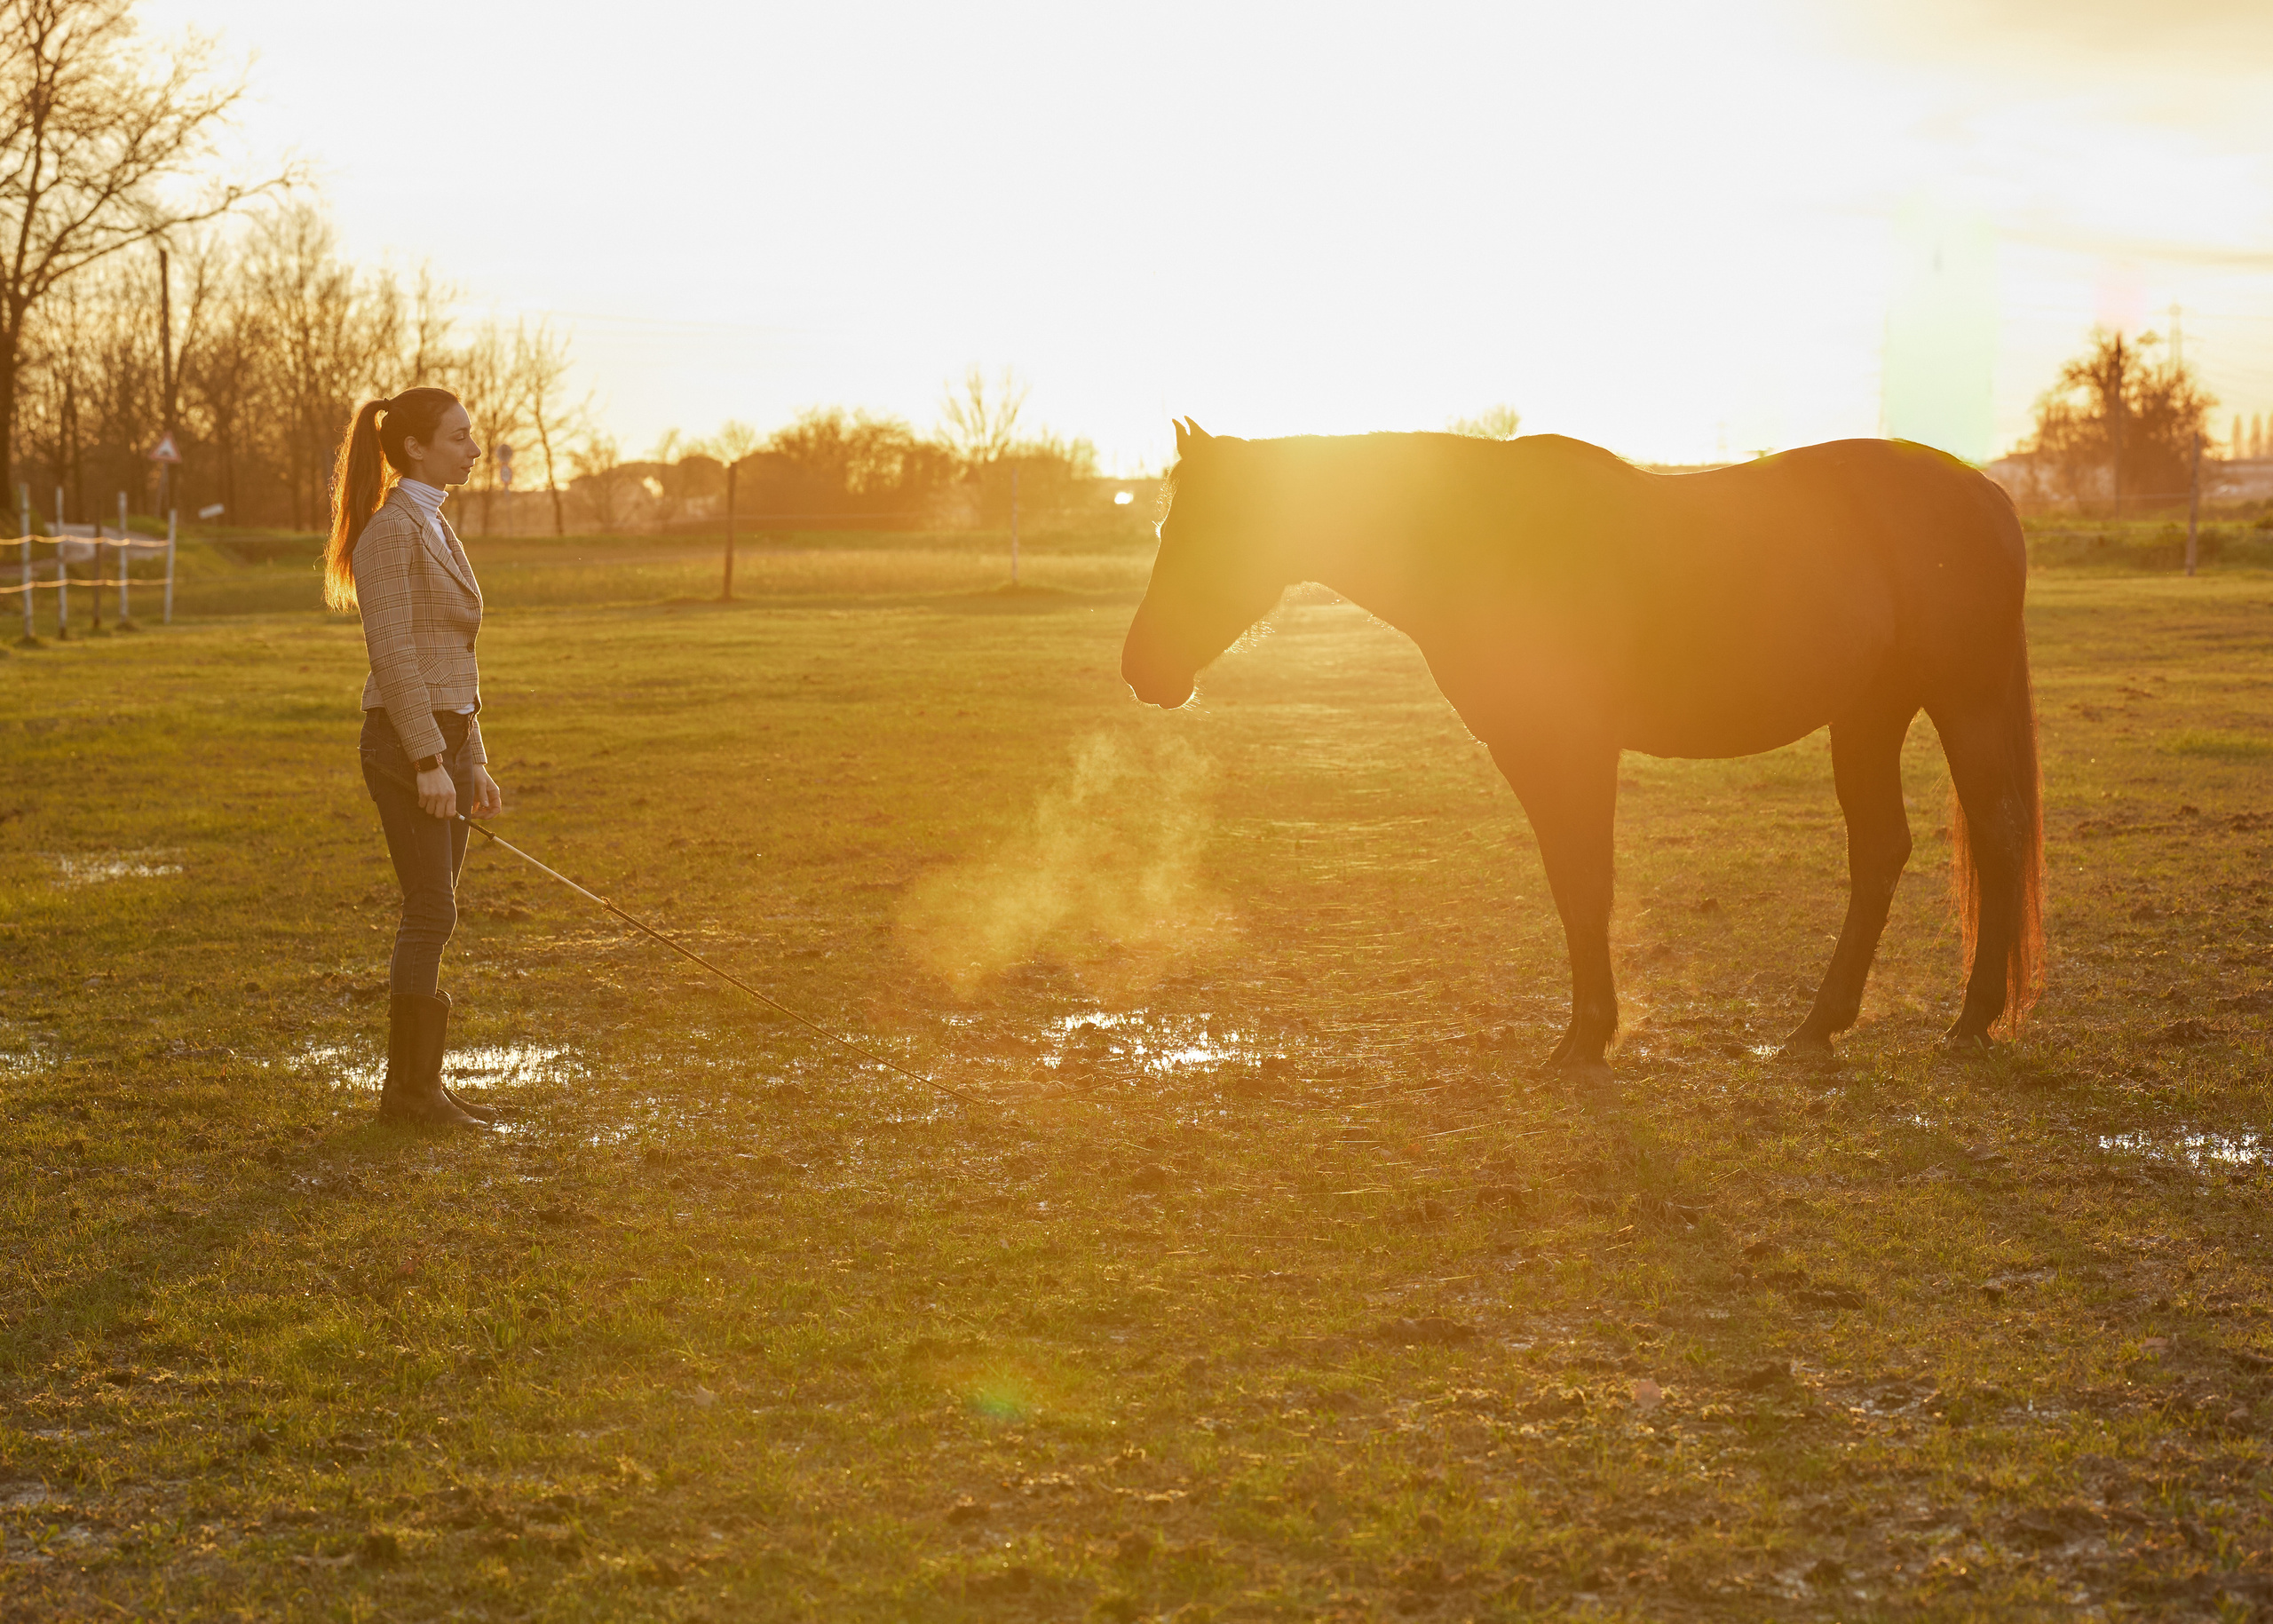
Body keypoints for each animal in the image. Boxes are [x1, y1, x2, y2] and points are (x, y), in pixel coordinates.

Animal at [1121, 423, 2043, 1076]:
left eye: (1204, 528)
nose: (1140, 668)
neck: (1491, 540)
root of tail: (1989, 495)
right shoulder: (1532, 754)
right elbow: (1570, 886)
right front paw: (1586, 1032)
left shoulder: (1577, 748)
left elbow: (1587, 884)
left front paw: (1589, 1037)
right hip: (1867, 717)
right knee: (1882, 850)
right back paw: (1820, 1027)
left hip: (1963, 702)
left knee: (1997, 837)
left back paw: (1969, 1022)